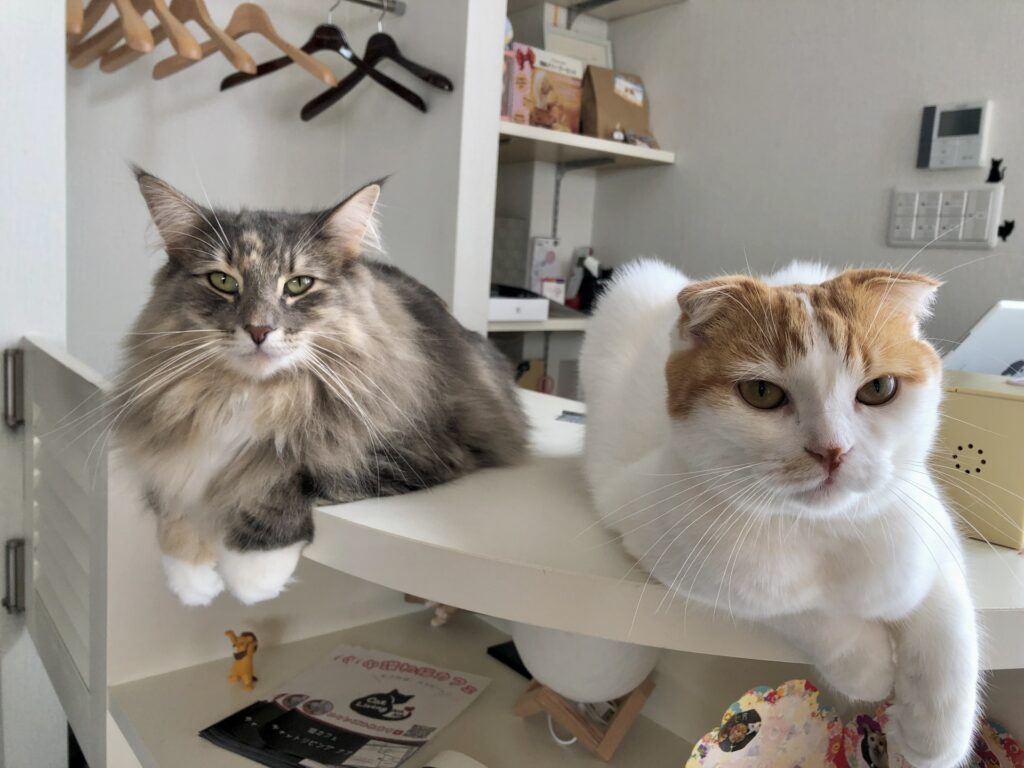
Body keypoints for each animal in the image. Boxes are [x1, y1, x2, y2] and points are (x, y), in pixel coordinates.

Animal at [112, 170, 527, 606]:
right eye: (222, 280)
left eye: (298, 285)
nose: (258, 329)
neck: (256, 395)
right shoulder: (168, 445)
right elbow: (173, 502)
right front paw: (189, 576)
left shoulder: (416, 452)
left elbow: (293, 477)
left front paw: (252, 572)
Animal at [580, 260, 979, 768]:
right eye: (761, 392)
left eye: (879, 388)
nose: (832, 450)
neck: (825, 532)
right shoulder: (669, 545)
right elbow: (801, 612)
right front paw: (868, 666)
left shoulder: (923, 533)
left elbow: (951, 622)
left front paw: (934, 736)